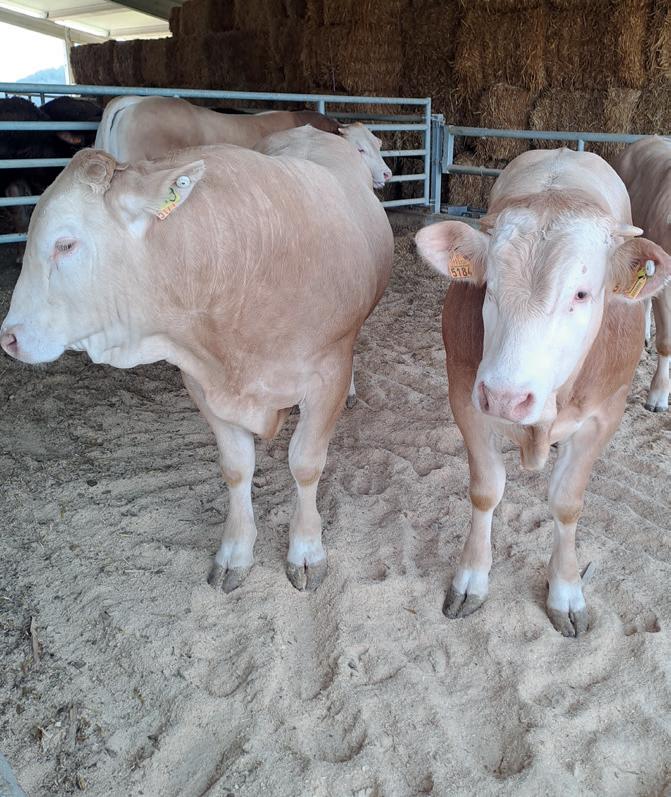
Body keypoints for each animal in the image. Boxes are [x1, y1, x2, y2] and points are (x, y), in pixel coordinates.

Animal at [0, 133, 393, 593]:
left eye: (65, 243)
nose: (9, 337)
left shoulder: (326, 374)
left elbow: (306, 465)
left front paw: (306, 549)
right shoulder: (202, 383)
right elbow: (237, 468)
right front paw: (235, 551)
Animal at [416, 148, 671, 637]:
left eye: (582, 294)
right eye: (488, 288)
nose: (505, 397)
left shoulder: (603, 416)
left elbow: (567, 504)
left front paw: (566, 591)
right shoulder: (465, 399)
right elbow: (485, 491)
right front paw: (471, 577)